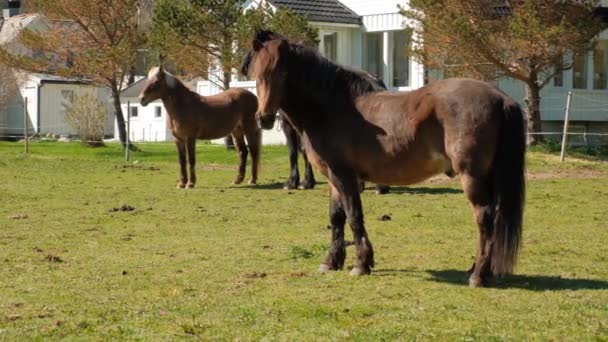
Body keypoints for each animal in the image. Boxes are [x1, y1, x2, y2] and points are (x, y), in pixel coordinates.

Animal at [247, 32, 528, 288]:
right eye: (257, 75)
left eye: (283, 74)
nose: (264, 118)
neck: (330, 107)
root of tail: (500, 97)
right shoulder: (333, 178)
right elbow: (336, 217)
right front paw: (331, 261)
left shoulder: (344, 176)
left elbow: (354, 216)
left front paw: (361, 264)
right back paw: (477, 269)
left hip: (472, 176)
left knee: (484, 218)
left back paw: (477, 275)